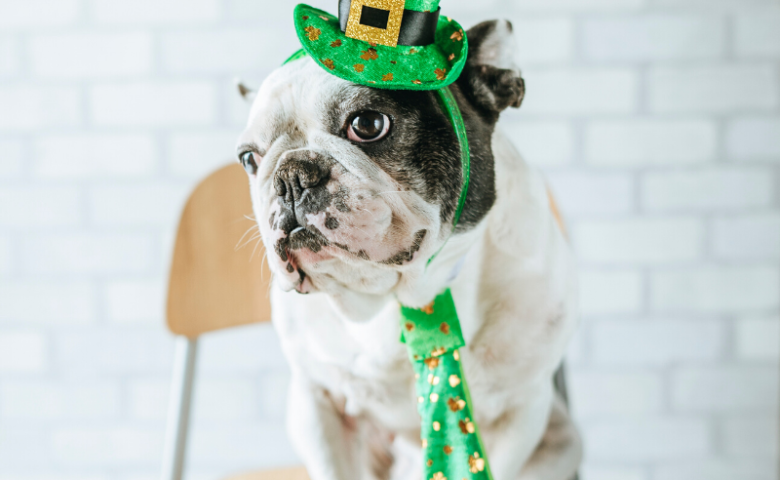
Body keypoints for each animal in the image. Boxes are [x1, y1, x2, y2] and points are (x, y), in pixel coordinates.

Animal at [235, 19, 580, 480]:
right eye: (249, 160)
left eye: (367, 123)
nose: (291, 176)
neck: (404, 294)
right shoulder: (317, 401)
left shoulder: (521, 410)